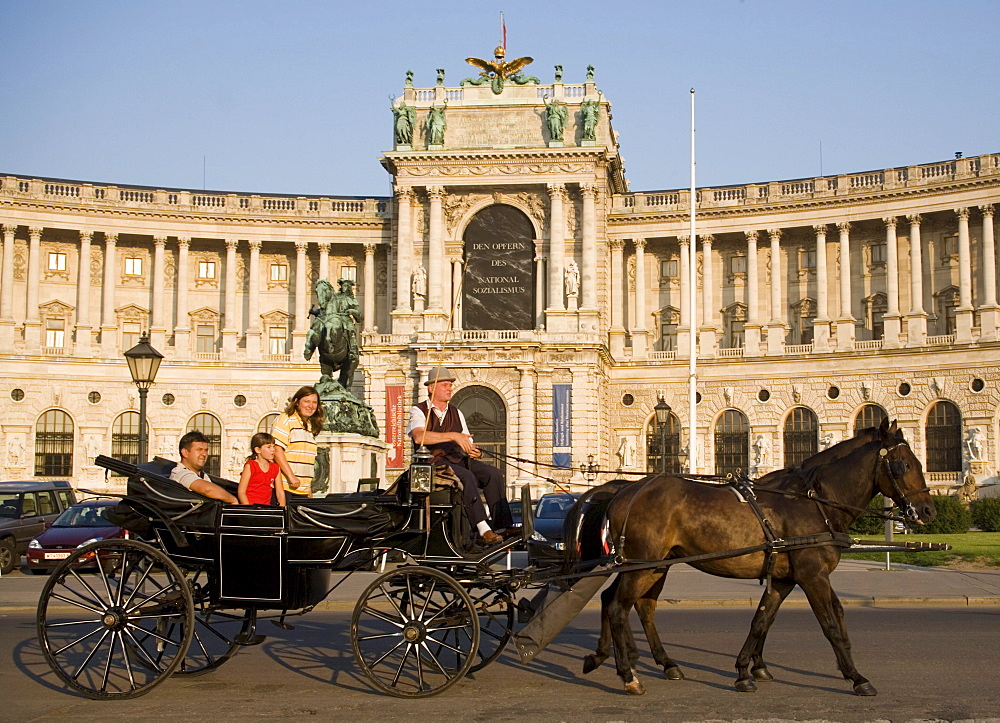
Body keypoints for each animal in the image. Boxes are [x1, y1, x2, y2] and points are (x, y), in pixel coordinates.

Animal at [568, 422, 932, 700]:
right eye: (903, 465)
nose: (928, 510)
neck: (813, 503)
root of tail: (626, 489)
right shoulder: (812, 575)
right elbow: (830, 625)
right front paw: (857, 677)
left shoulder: (786, 579)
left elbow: (763, 620)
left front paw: (747, 669)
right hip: (643, 565)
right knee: (619, 607)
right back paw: (629, 675)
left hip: (652, 565)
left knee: (628, 604)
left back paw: (641, 661)